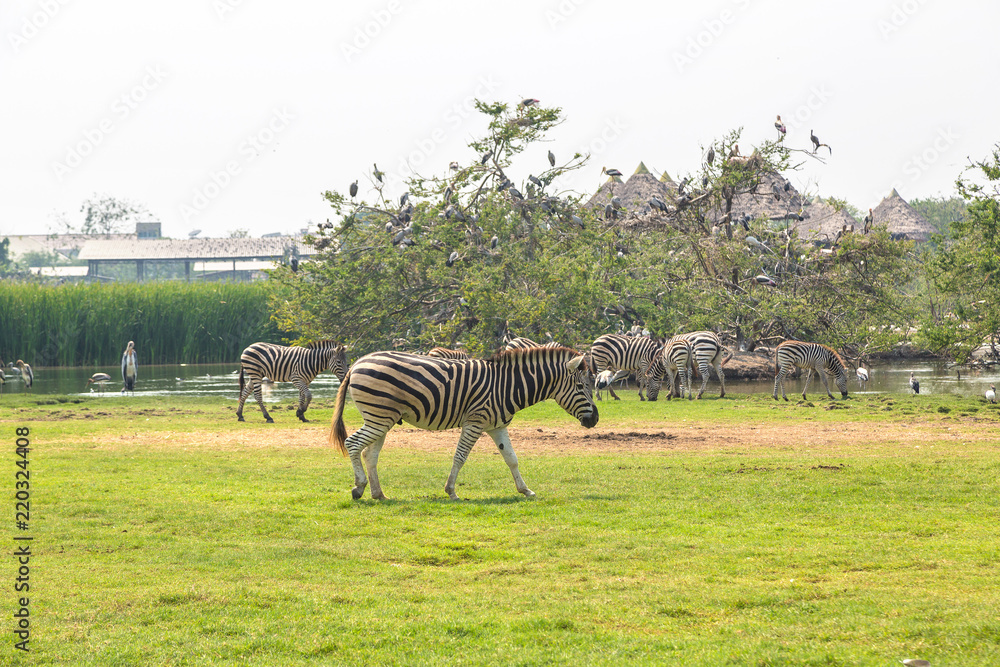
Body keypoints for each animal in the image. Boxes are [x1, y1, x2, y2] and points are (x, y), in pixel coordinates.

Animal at [329, 346, 598, 500]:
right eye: (581, 386)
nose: (595, 419)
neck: (507, 386)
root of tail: (359, 362)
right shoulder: (475, 421)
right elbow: (460, 456)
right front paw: (451, 491)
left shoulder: (497, 426)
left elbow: (511, 458)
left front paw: (525, 490)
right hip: (379, 417)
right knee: (352, 443)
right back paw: (359, 488)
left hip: (383, 418)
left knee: (370, 454)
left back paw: (379, 494)